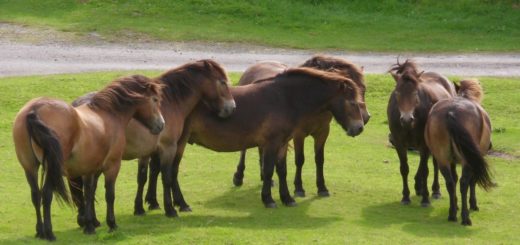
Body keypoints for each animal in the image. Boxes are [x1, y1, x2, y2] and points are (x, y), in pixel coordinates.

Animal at [12, 75, 165, 240]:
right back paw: (49, 233)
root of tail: (34, 110)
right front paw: (111, 224)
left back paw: (40, 231)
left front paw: (89, 225)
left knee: (36, 195)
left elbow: (89, 194)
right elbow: (109, 195)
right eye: (155, 99)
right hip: (52, 168)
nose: (161, 125)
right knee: (46, 195)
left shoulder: (90, 168)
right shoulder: (112, 166)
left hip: (30, 167)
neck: (108, 114)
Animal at [69, 59, 236, 218]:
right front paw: (172, 208)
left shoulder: (149, 151)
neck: (169, 102)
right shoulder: (170, 147)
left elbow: (145, 176)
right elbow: (167, 176)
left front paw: (142, 207)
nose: (232, 107)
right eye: (222, 82)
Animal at [232, 55, 370, 197]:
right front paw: (298, 187)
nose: (364, 119)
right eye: (352, 101)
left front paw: (322, 187)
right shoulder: (298, 134)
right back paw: (239, 176)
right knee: (244, 150)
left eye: (364, 89)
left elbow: (319, 159)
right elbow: (300, 159)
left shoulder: (322, 132)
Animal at [386, 59, 456, 207]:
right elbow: (404, 168)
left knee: (434, 164)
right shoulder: (399, 144)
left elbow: (425, 170)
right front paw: (405, 197)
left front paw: (425, 199)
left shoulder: (424, 144)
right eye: (397, 93)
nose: (407, 119)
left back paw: (435, 190)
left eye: (415, 93)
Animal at [424, 79, 494, 226]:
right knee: (464, 183)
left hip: (442, 158)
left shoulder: (451, 161)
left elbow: (454, 179)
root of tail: (451, 112)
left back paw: (452, 214)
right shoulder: (474, 160)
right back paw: (465, 217)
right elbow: (472, 181)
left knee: (450, 183)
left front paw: (455, 205)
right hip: (467, 160)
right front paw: (473, 204)